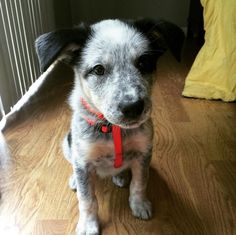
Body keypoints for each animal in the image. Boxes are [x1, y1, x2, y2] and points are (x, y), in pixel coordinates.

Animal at [35, 18, 184, 235]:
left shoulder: (144, 152)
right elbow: (87, 198)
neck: (113, 129)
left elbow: (140, 183)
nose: (133, 107)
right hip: (66, 144)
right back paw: (75, 180)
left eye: (144, 62)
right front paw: (88, 224)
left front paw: (139, 204)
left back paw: (120, 175)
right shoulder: (84, 159)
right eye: (98, 69)